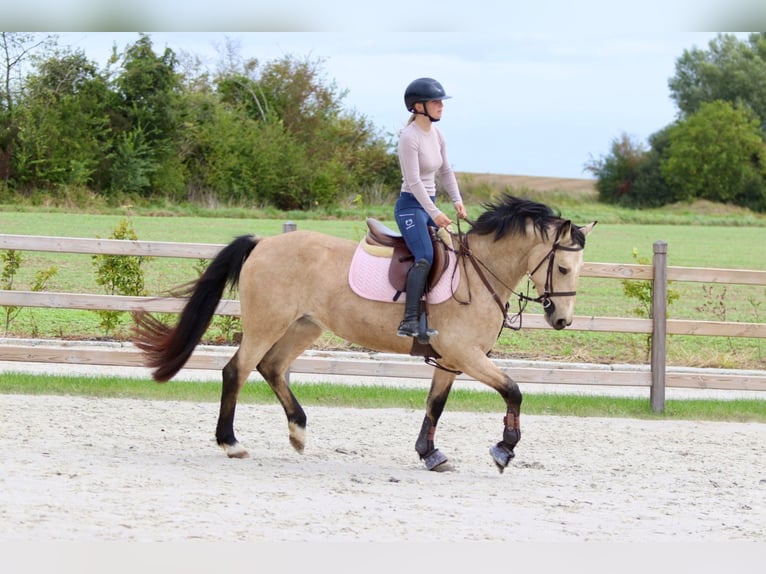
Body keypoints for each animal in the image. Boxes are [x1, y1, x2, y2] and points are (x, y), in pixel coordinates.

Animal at [132, 194, 596, 472]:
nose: (562, 321)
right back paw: (231, 443)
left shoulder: (451, 359)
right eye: (563, 267)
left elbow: (436, 404)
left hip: (303, 327)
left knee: (272, 368)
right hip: (267, 323)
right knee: (237, 371)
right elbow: (514, 390)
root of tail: (263, 243)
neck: (479, 274)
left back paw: (298, 433)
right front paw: (504, 450)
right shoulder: (467, 355)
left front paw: (430, 454)